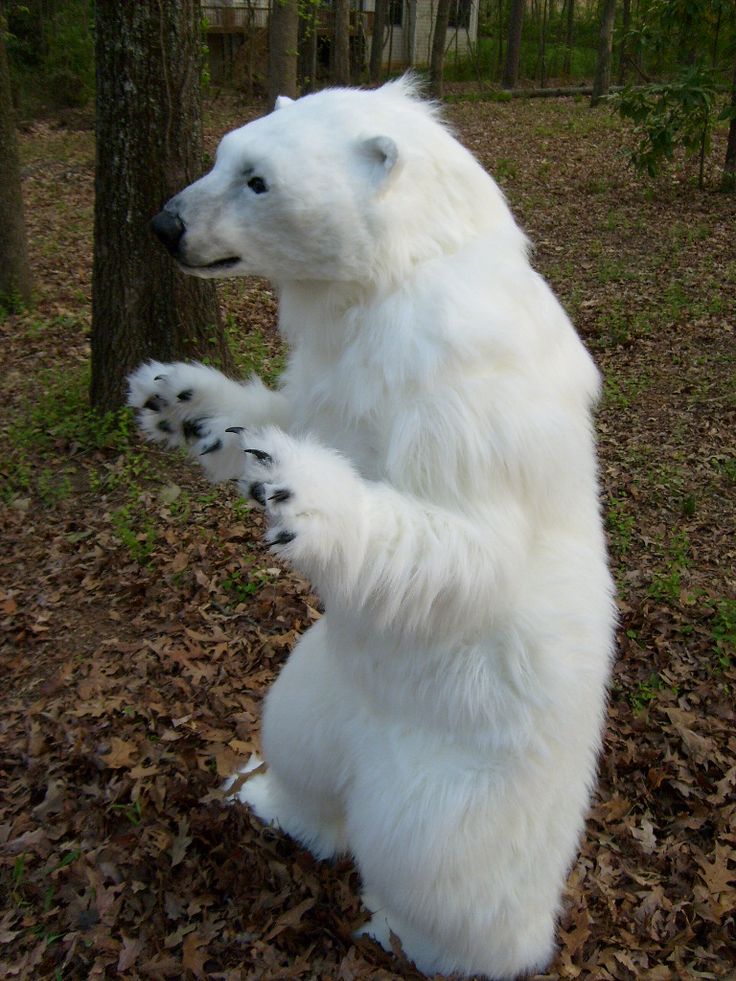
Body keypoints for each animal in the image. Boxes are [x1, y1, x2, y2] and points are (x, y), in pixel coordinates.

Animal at [128, 78, 616, 980]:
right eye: (222, 151)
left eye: (258, 180)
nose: (165, 223)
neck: (401, 275)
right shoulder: (337, 370)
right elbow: (294, 411)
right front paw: (182, 401)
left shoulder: (458, 384)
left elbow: (468, 541)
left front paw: (296, 490)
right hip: (325, 680)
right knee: (301, 744)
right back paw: (267, 796)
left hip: (462, 780)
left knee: (442, 874)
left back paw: (412, 934)